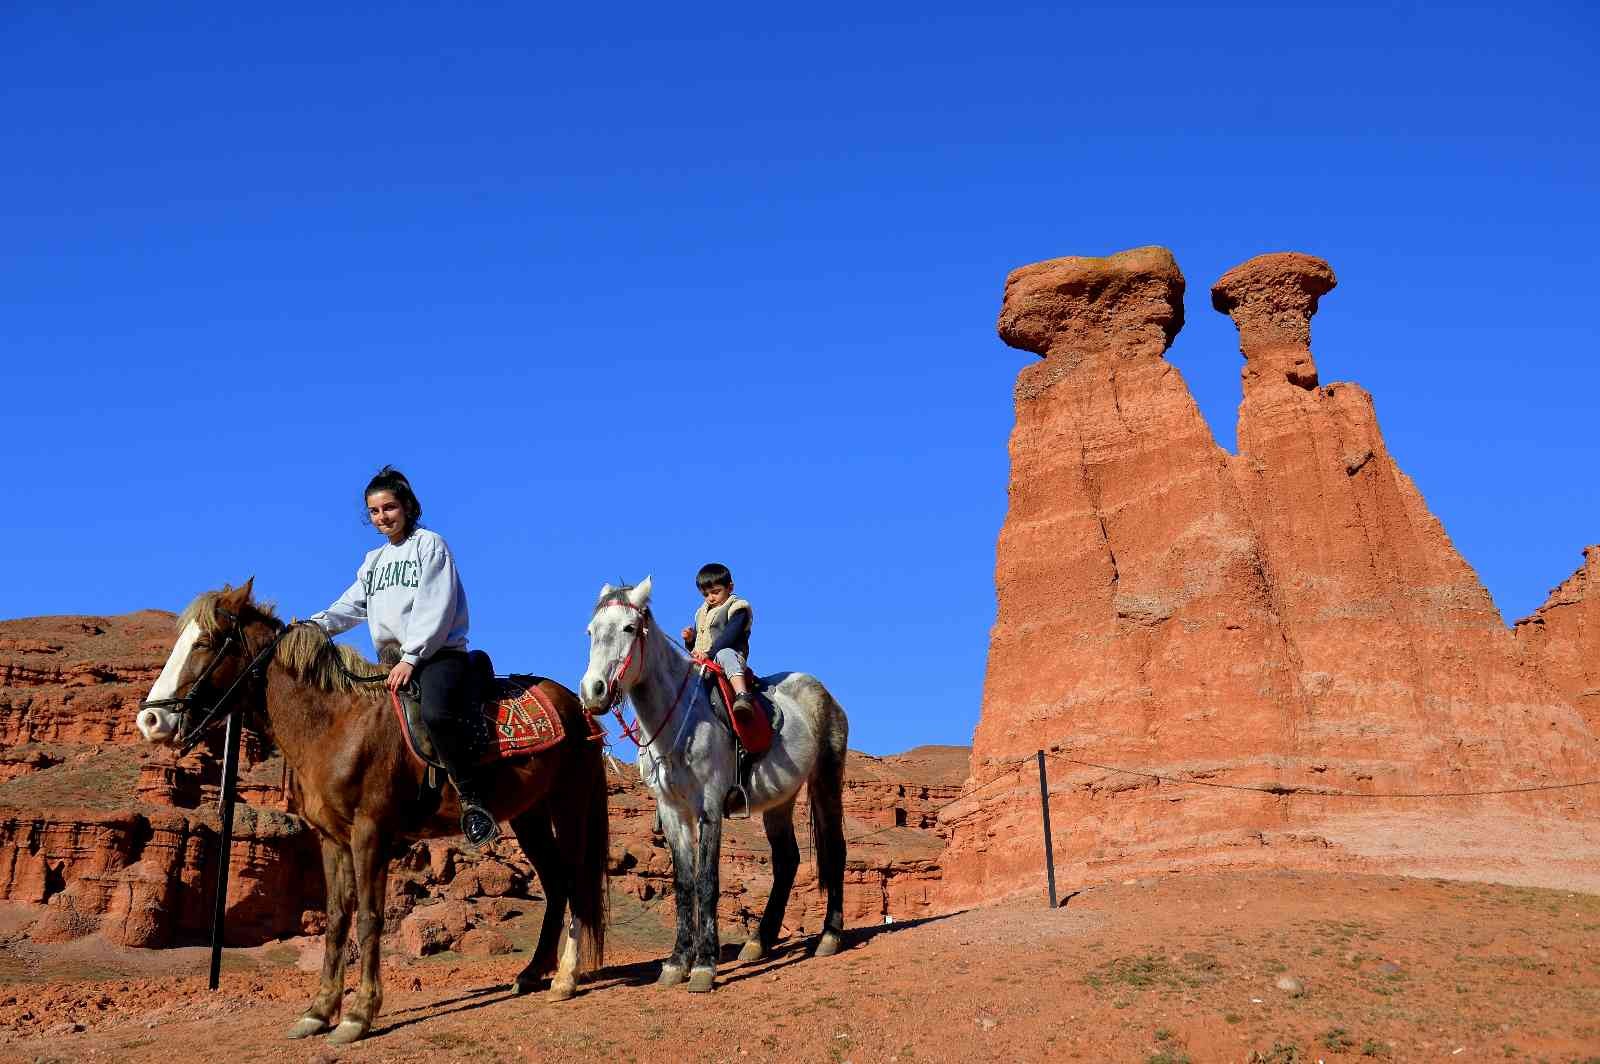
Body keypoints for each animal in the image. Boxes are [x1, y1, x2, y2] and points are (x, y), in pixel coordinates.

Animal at [134, 576, 608, 1043]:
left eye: (206, 642)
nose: (150, 721)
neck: (336, 724)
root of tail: (577, 707)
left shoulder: (371, 833)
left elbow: (368, 918)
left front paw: (358, 1015)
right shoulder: (331, 838)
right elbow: (336, 919)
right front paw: (318, 1011)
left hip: (568, 804)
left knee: (574, 883)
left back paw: (564, 979)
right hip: (529, 815)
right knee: (555, 885)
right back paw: (531, 973)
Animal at [579, 576, 851, 992]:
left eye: (628, 628)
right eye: (592, 631)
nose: (592, 691)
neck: (679, 720)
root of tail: (825, 695)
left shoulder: (709, 806)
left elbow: (706, 880)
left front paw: (704, 965)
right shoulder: (672, 811)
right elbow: (683, 883)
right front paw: (677, 962)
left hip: (825, 782)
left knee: (834, 849)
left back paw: (830, 936)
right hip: (779, 802)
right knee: (787, 860)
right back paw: (759, 942)